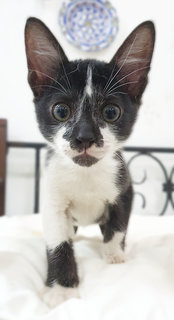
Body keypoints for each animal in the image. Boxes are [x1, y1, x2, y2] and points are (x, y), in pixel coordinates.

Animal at [24, 17, 155, 302]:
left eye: (111, 112)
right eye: (61, 111)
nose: (84, 137)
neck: (85, 175)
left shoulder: (124, 187)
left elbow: (118, 225)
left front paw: (114, 255)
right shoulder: (52, 198)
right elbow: (58, 241)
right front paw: (61, 288)